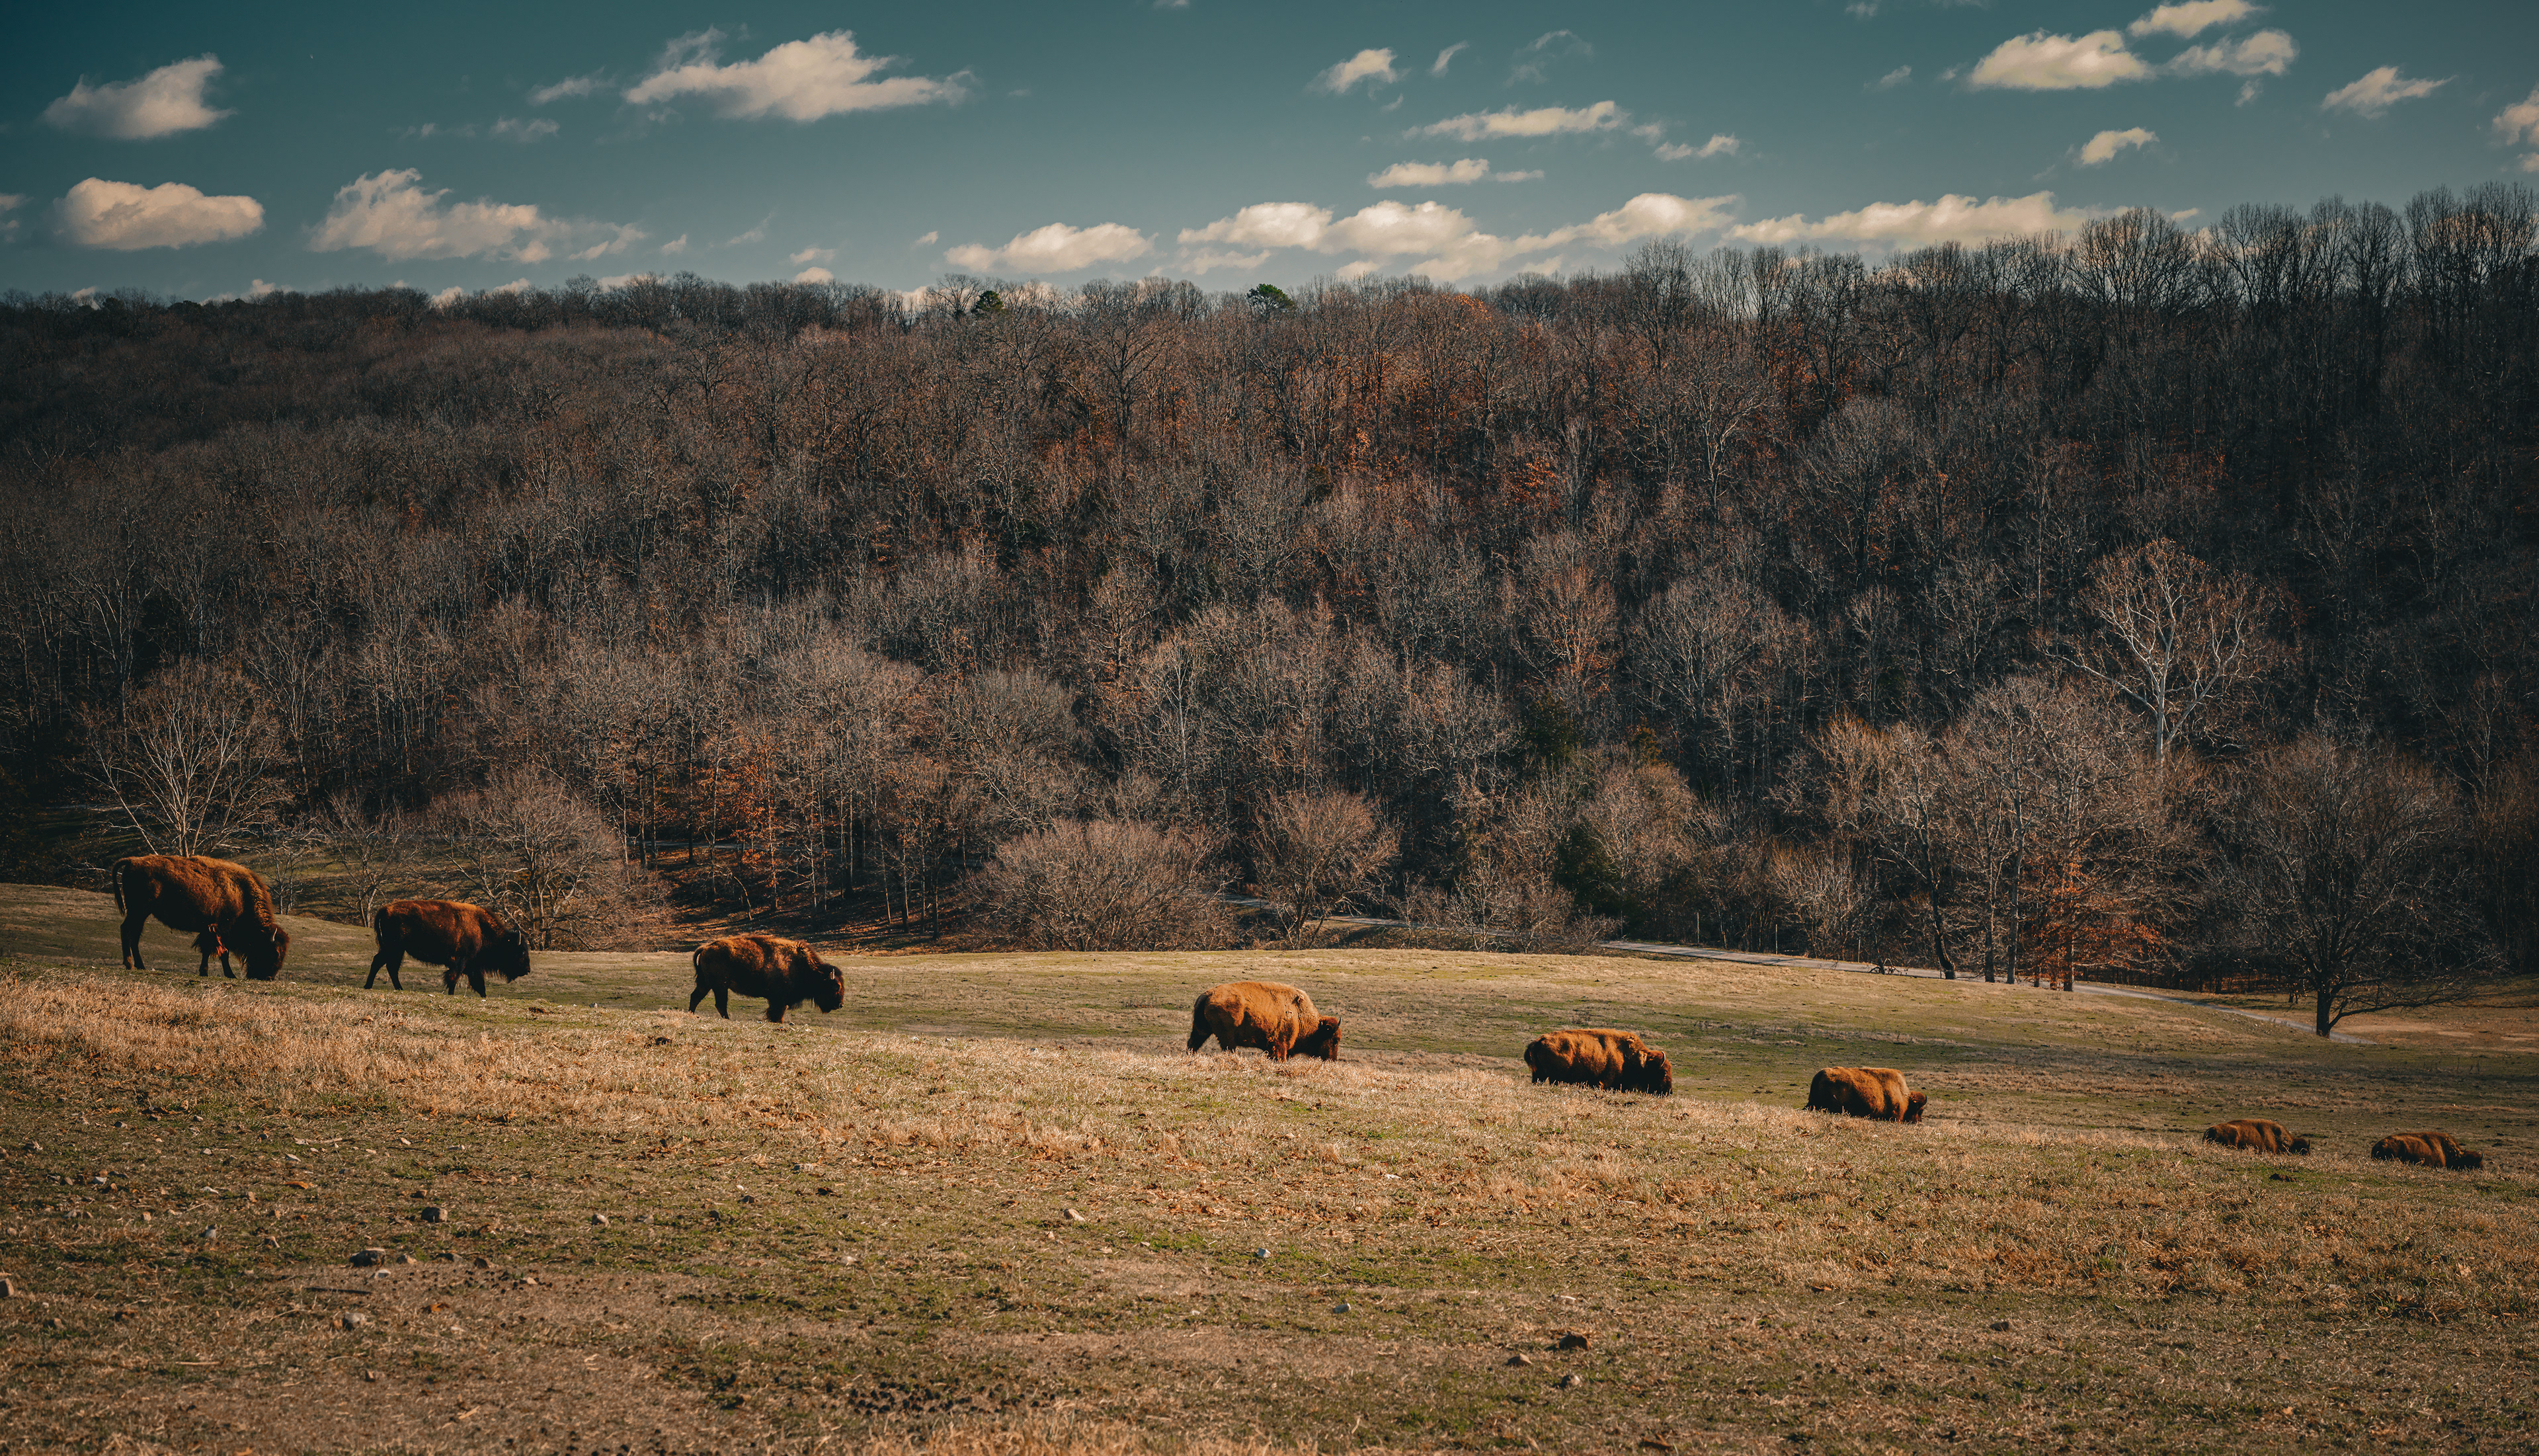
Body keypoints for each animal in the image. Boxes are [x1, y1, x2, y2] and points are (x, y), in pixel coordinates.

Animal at [113, 855, 290, 981]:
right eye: (273, 952)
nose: (268, 978)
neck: (241, 894)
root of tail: (133, 861)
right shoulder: (220, 930)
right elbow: (222, 953)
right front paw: (229, 974)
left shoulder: (208, 929)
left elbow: (207, 951)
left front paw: (204, 972)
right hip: (139, 910)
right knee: (126, 929)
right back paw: (129, 964)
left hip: (141, 913)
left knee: (134, 935)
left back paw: (140, 965)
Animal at [368, 899, 531, 997]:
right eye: (522, 951)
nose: (528, 970)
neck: (481, 929)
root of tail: (386, 909)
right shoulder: (460, 962)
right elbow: (454, 978)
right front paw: (451, 994)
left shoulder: (472, 965)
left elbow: (479, 984)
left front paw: (484, 996)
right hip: (394, 948)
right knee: (383, 963)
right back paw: (371, 986)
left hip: (396, 949)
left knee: (387, 965)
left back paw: (391, 988)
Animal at [690, 934, 846, 1023]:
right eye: (836, 986)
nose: (840, 1005)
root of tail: (705, 948)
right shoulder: (779, 999)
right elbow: (777, 1013)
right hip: (720, 986)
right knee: (720, 1004)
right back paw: (728, 1020)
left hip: (706, 984)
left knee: (696, 997)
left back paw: (691, 1014)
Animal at [1187, 980, 1341, 1061]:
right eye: (1335, 1040)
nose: (1332, 1060)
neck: (1299, 1015)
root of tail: (1207, 995)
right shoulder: (1279, 1045)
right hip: (1226, 1036)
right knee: (1228, 1049)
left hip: (1201, 1030)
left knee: (1192, 1044)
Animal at [1523, 1028, 1673, 1094]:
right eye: (1664, 1073)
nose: (1669, 1092)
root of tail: (1539, 1041)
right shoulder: (1603, 1083)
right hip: (1554, 1078)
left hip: (1539, 1076)